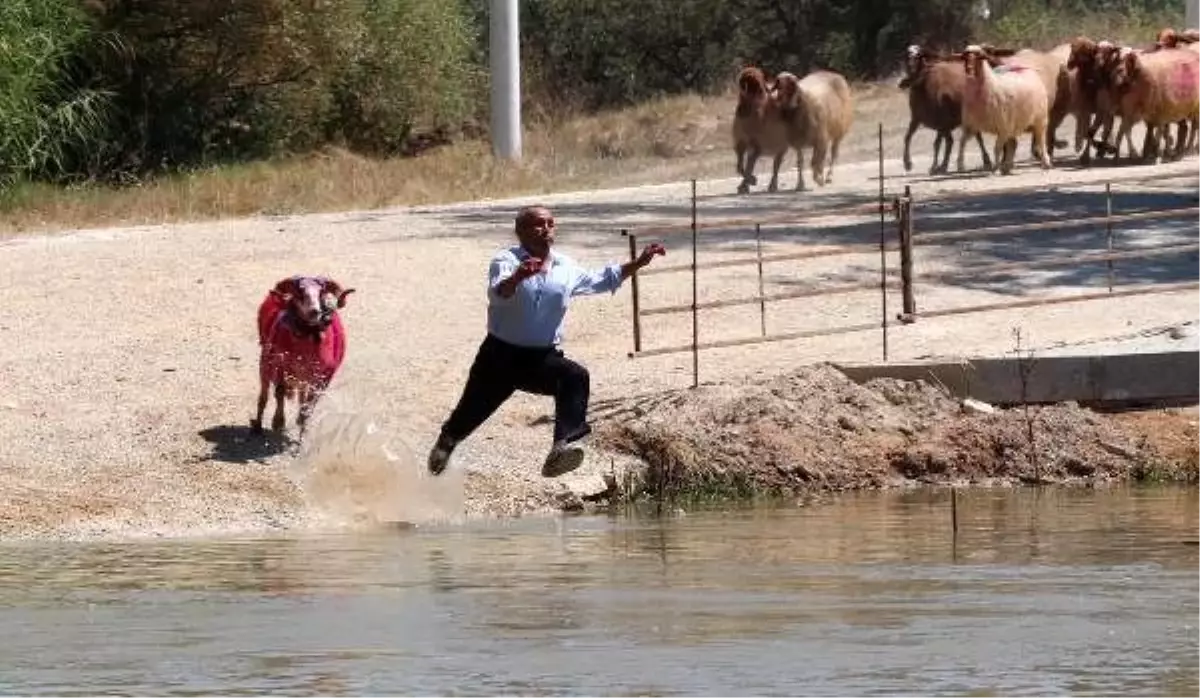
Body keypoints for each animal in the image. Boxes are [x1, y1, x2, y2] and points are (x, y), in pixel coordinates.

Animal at [248, 274, 350, 434]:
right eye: (300, 292)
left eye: (321, 292)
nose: (314, 311)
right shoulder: (280, 367)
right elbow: (279, 392)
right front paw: (278, 423)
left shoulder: (322, 379)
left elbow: (308, 407)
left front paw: (302, 428)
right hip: (264, 366)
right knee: (264, 397)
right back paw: (257, 426)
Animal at [902, 44, 993, 176]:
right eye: (907, 54)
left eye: (919, 55)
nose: (910, 65)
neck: (923, 85)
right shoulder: (917, 118)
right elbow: (908, 137)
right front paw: (908, 163)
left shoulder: (941, 122)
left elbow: (938, 144)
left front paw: (934, 167)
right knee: (966, 138)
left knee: (977, 137)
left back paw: (986, 162)